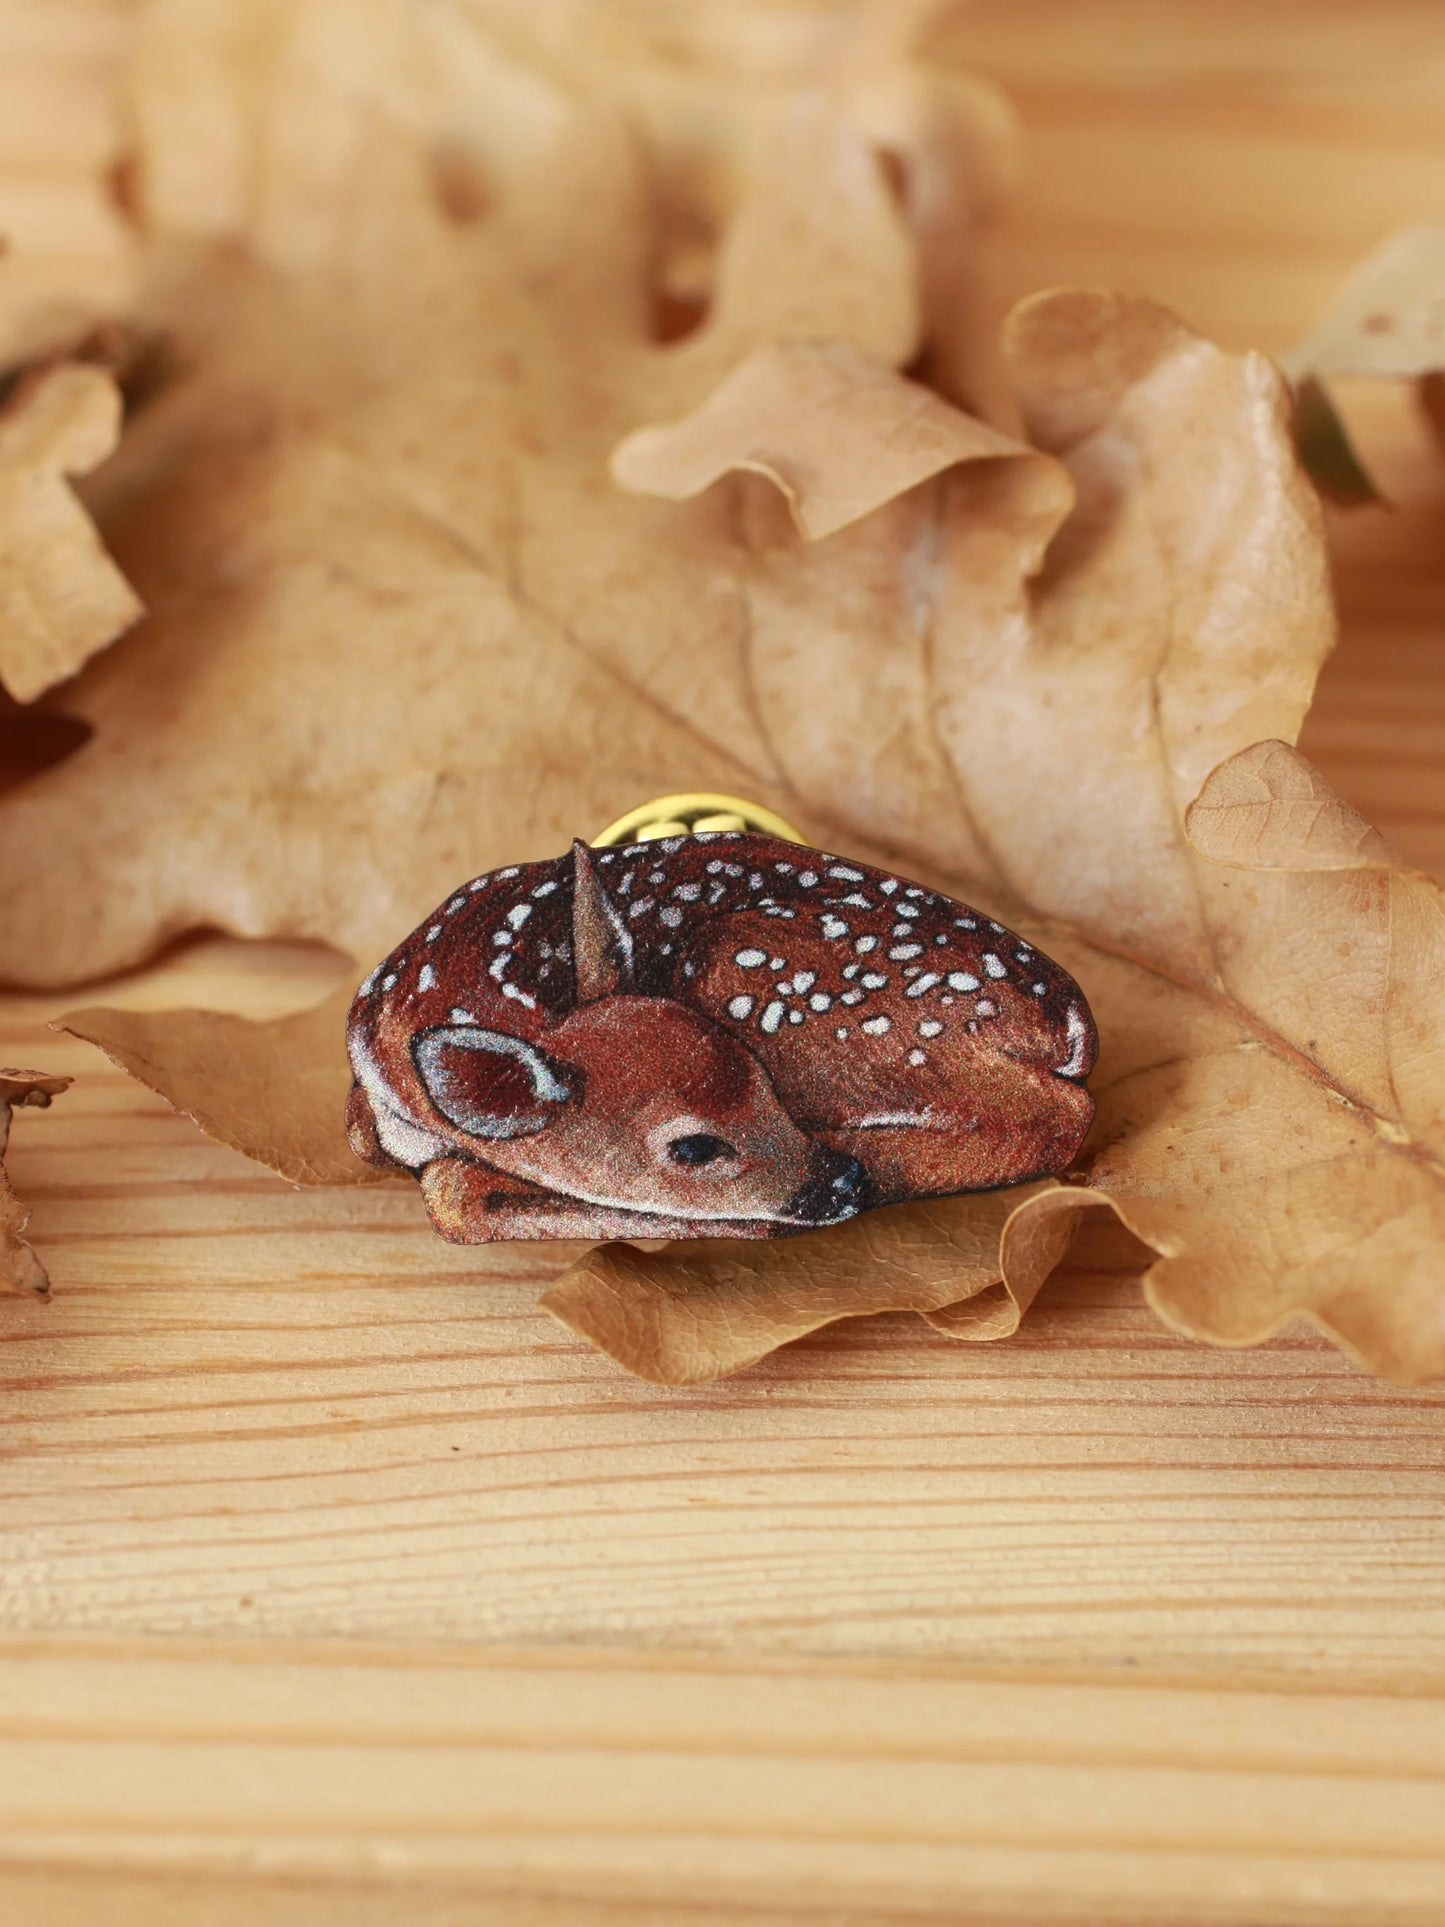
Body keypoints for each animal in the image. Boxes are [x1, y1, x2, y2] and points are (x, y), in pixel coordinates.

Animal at [345, 831, 1096, 1242]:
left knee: (1055, 1118)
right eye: (693, 1146)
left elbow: (453, 1195)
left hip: (759, 978)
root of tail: (1070, 1020)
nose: (844, 1182)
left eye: (761, 1078)